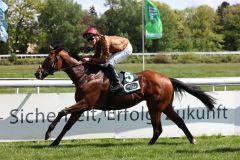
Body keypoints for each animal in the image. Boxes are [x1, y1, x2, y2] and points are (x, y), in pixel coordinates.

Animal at [34, 46, 216, 146]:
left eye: (48, 59)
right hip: (165, 106)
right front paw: (54, 142)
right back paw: (192, 140)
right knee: (179, 121)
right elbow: (67, 125)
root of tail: (166, 78)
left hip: (155, 106)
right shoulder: (81, 106)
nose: (37, 73)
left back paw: (150, 144)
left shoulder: (86, 103)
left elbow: (62, 111)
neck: (86, 76)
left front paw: (48, 133)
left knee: (158, 128)